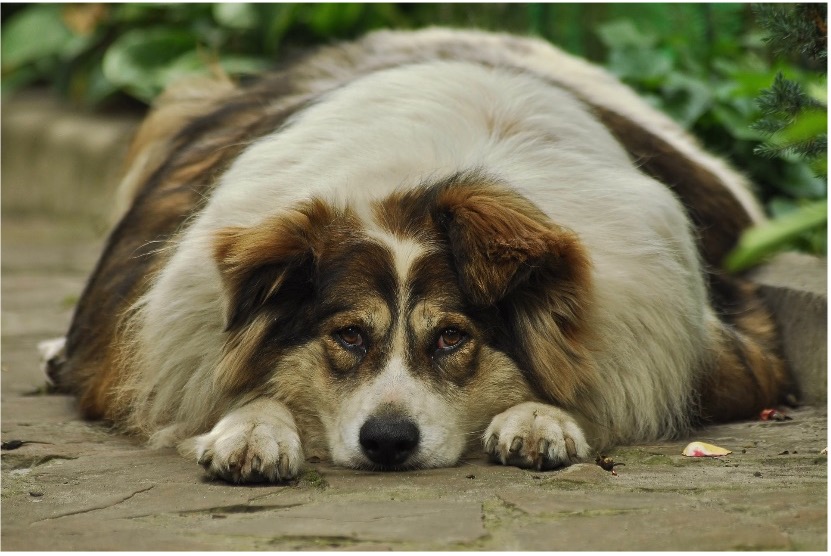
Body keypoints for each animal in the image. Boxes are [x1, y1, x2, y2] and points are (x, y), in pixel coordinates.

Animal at [45, 29, 792, 482]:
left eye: (452, 338)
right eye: (347, 335)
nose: (387, 443)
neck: (424, 182)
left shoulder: (727, 357)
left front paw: (541, 417)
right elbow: (246, 388)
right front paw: (252, 429)